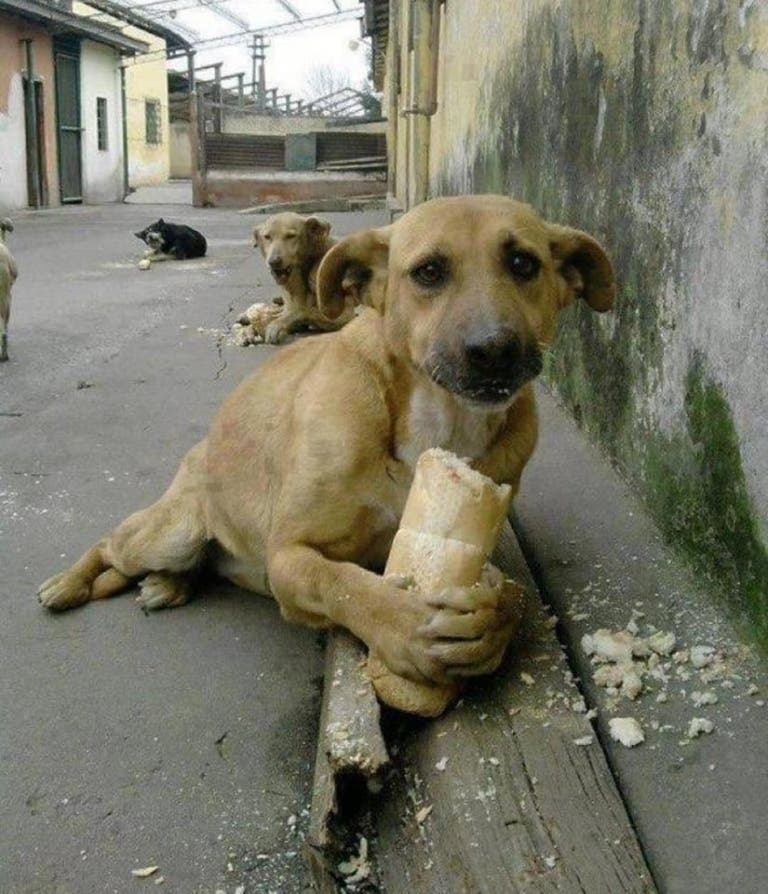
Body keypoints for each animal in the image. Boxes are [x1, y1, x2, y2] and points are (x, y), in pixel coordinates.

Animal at [249, 212, 352, 344]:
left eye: (290, 236)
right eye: (267, 237)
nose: (273, 262)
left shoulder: (346, 314)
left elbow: (301, 311)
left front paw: (276, 324)